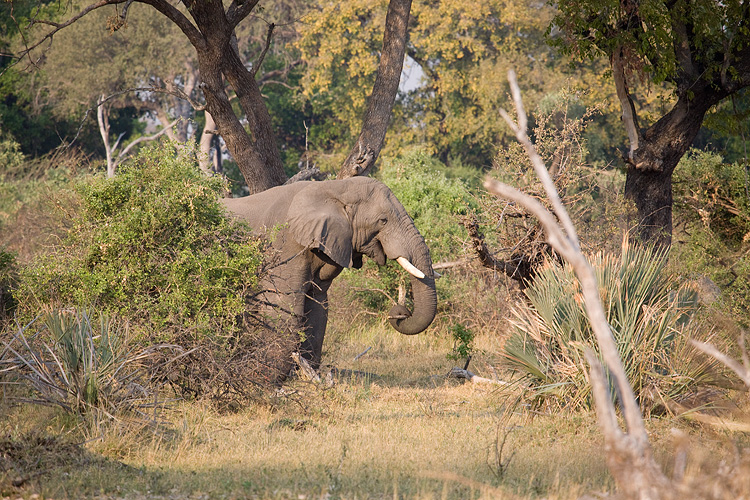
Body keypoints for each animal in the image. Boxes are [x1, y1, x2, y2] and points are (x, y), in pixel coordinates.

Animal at [220, 176, 438, 372]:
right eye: (383, 221)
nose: (400, 312)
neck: (335, 188)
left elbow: (317, 306)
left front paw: (304, 372)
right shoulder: (284, 246)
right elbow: (284, 306)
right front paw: (266, 376)